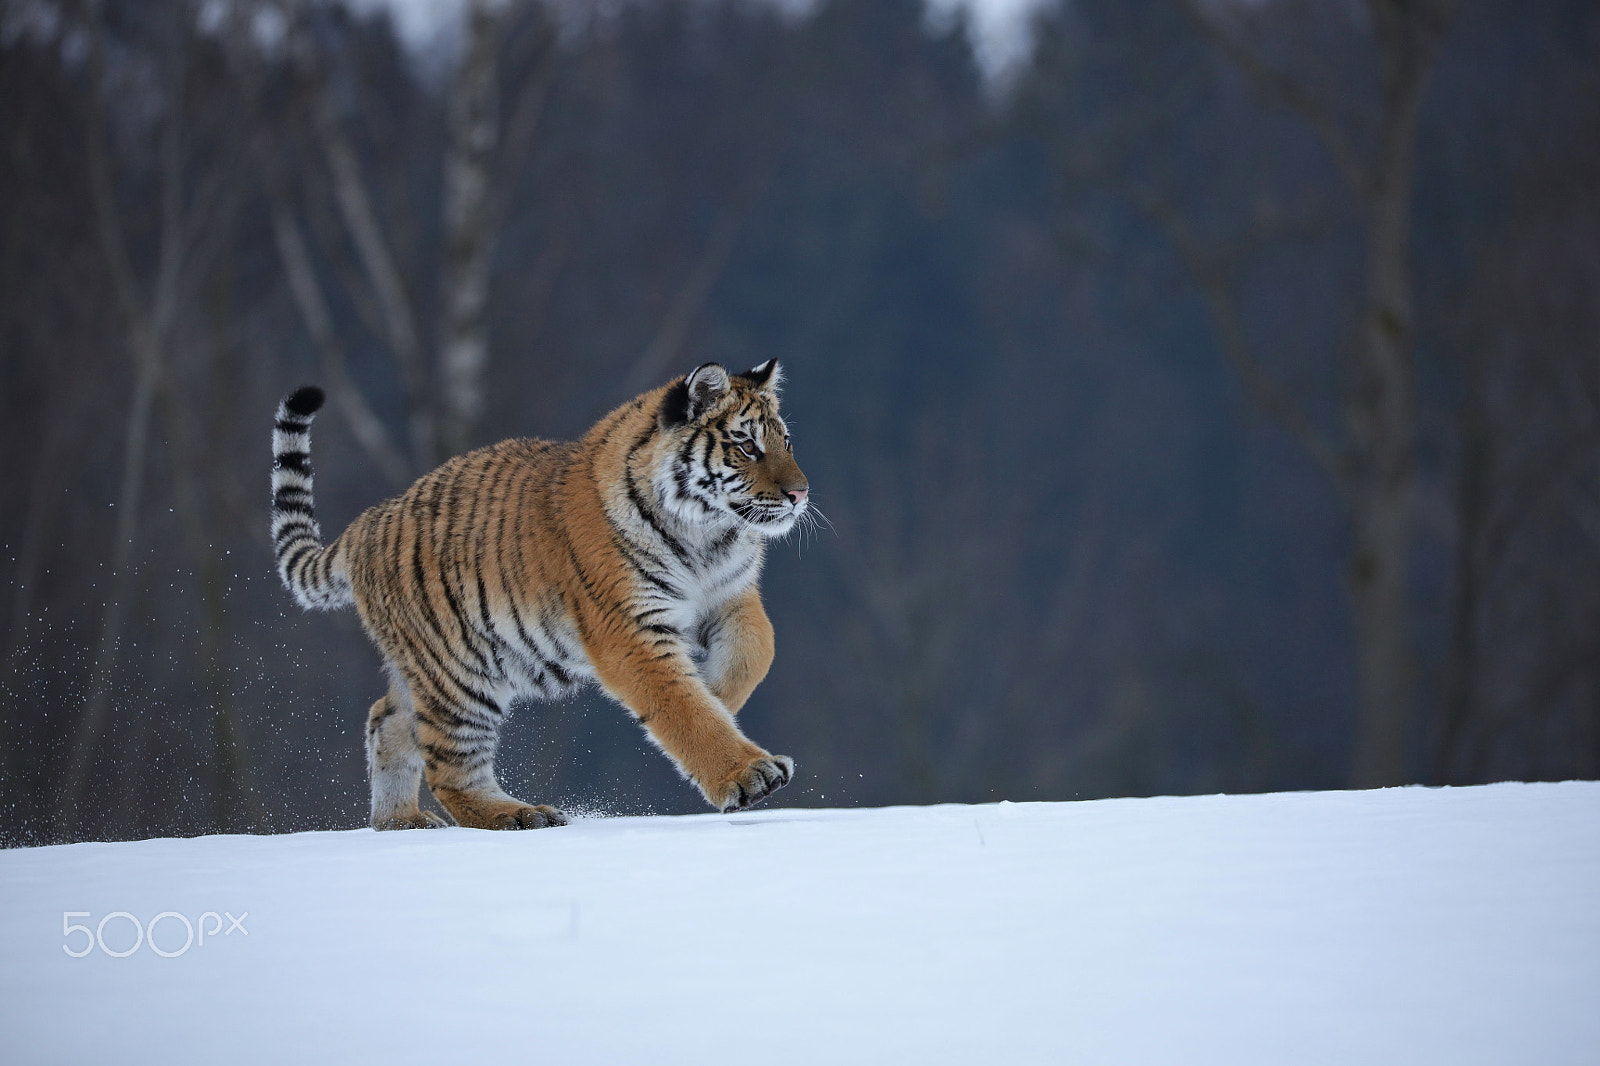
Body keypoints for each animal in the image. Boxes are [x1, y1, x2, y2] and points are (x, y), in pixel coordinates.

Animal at [270, 361, 808, 830]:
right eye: (747, 446)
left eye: (785, 441)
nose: (800, 494)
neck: (706, 535)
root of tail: (369, 521)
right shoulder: (629, 630)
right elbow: (683, 708)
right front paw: (748, 774)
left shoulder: (729, 597)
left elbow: (757, 650)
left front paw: (718, 692)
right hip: (458, 675)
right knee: (449, 769)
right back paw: (516, 814)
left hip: (431, 667)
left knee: (387, 719)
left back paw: (399, 821)